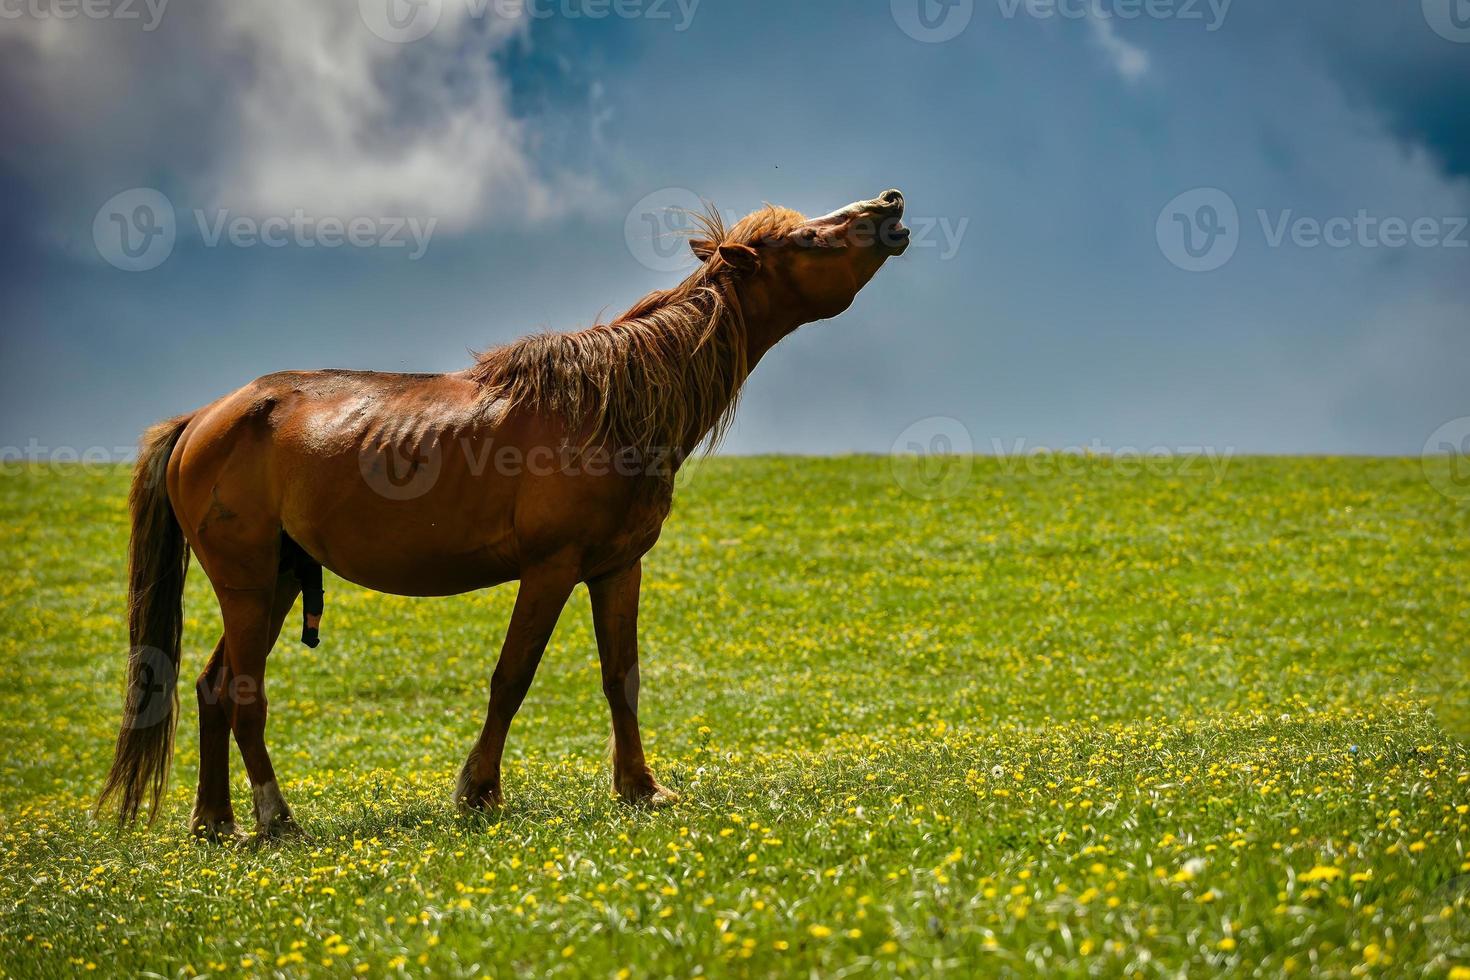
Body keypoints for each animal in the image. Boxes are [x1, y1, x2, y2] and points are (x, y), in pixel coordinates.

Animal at [97, 188, 905, 840]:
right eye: (804, 239)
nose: (890, 204)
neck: (612, 407)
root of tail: (202, 420)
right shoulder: (550, 569)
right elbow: (511, 676)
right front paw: (478, 791)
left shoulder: (617, 568)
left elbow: (622, 678)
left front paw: (641, 788)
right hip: (247, 581)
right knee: (244, 695)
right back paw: (275, 818)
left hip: (282, 578)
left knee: (212, 689)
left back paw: (215, 821)